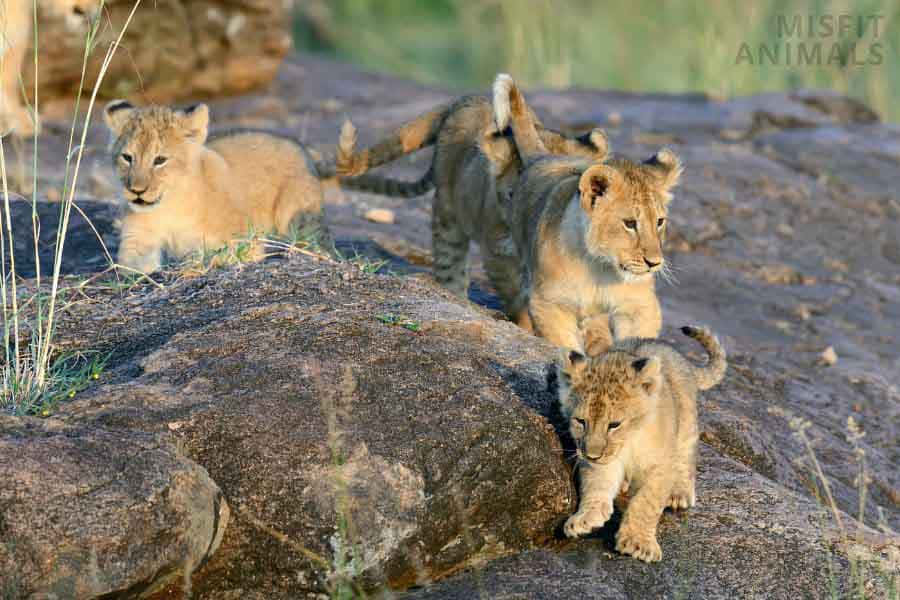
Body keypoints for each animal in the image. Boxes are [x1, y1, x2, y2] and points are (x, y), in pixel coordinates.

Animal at [103, 100, 330, 273]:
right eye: (127, 157)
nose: (136, 191)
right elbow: (135, 270)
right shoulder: (137, 240)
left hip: (297, 220)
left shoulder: (243, 241)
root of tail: (302, 148)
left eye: (160, 160)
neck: (170, 206)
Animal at [494, 73, 682, 353]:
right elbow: (564, 345)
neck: (599, 266)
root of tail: (545, 157)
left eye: (659, 221)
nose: (654, 263)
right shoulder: (548, 303)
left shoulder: (640, 305)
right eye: (629, 223)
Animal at [557, 326, 727, 562]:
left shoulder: (661, 464)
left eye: (614, 424)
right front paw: (585, 518)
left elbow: (646, 502)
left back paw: (679, 493)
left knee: (687, 453)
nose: (592, 455)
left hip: (686, 424)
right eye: (580, 421)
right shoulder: (603, 462)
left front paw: (637, 542)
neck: (630, 441)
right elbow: (596, 484)